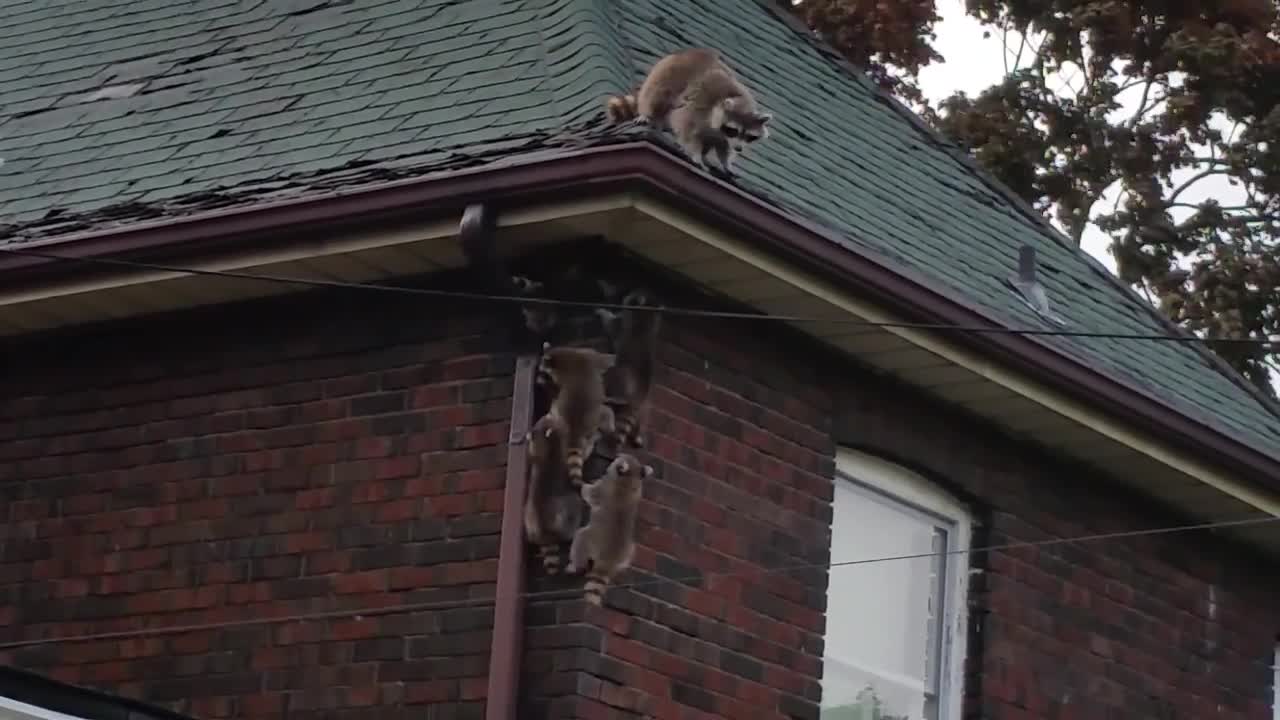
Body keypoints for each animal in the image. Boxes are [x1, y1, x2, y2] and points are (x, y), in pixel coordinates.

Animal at [568, 450, 655, 602]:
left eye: (617, 460)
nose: (616, 455)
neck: (629, 477)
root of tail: (608, 561)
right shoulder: (637, 490)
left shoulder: (603, 489)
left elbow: (589, 493)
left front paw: (579, 483)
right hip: (628, 550)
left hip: (592, 540)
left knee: (581, 538)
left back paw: (576, 565)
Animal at [606, 47, 773, 175]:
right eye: (734, 130)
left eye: (750, 136)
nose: (739, 149)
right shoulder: (700, 105)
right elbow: (687, 129)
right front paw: (696, 155)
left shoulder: (722, 133)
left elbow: (723, 145)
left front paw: (726, 162)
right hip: (666, 74)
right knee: (656, 93)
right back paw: (647, 113)